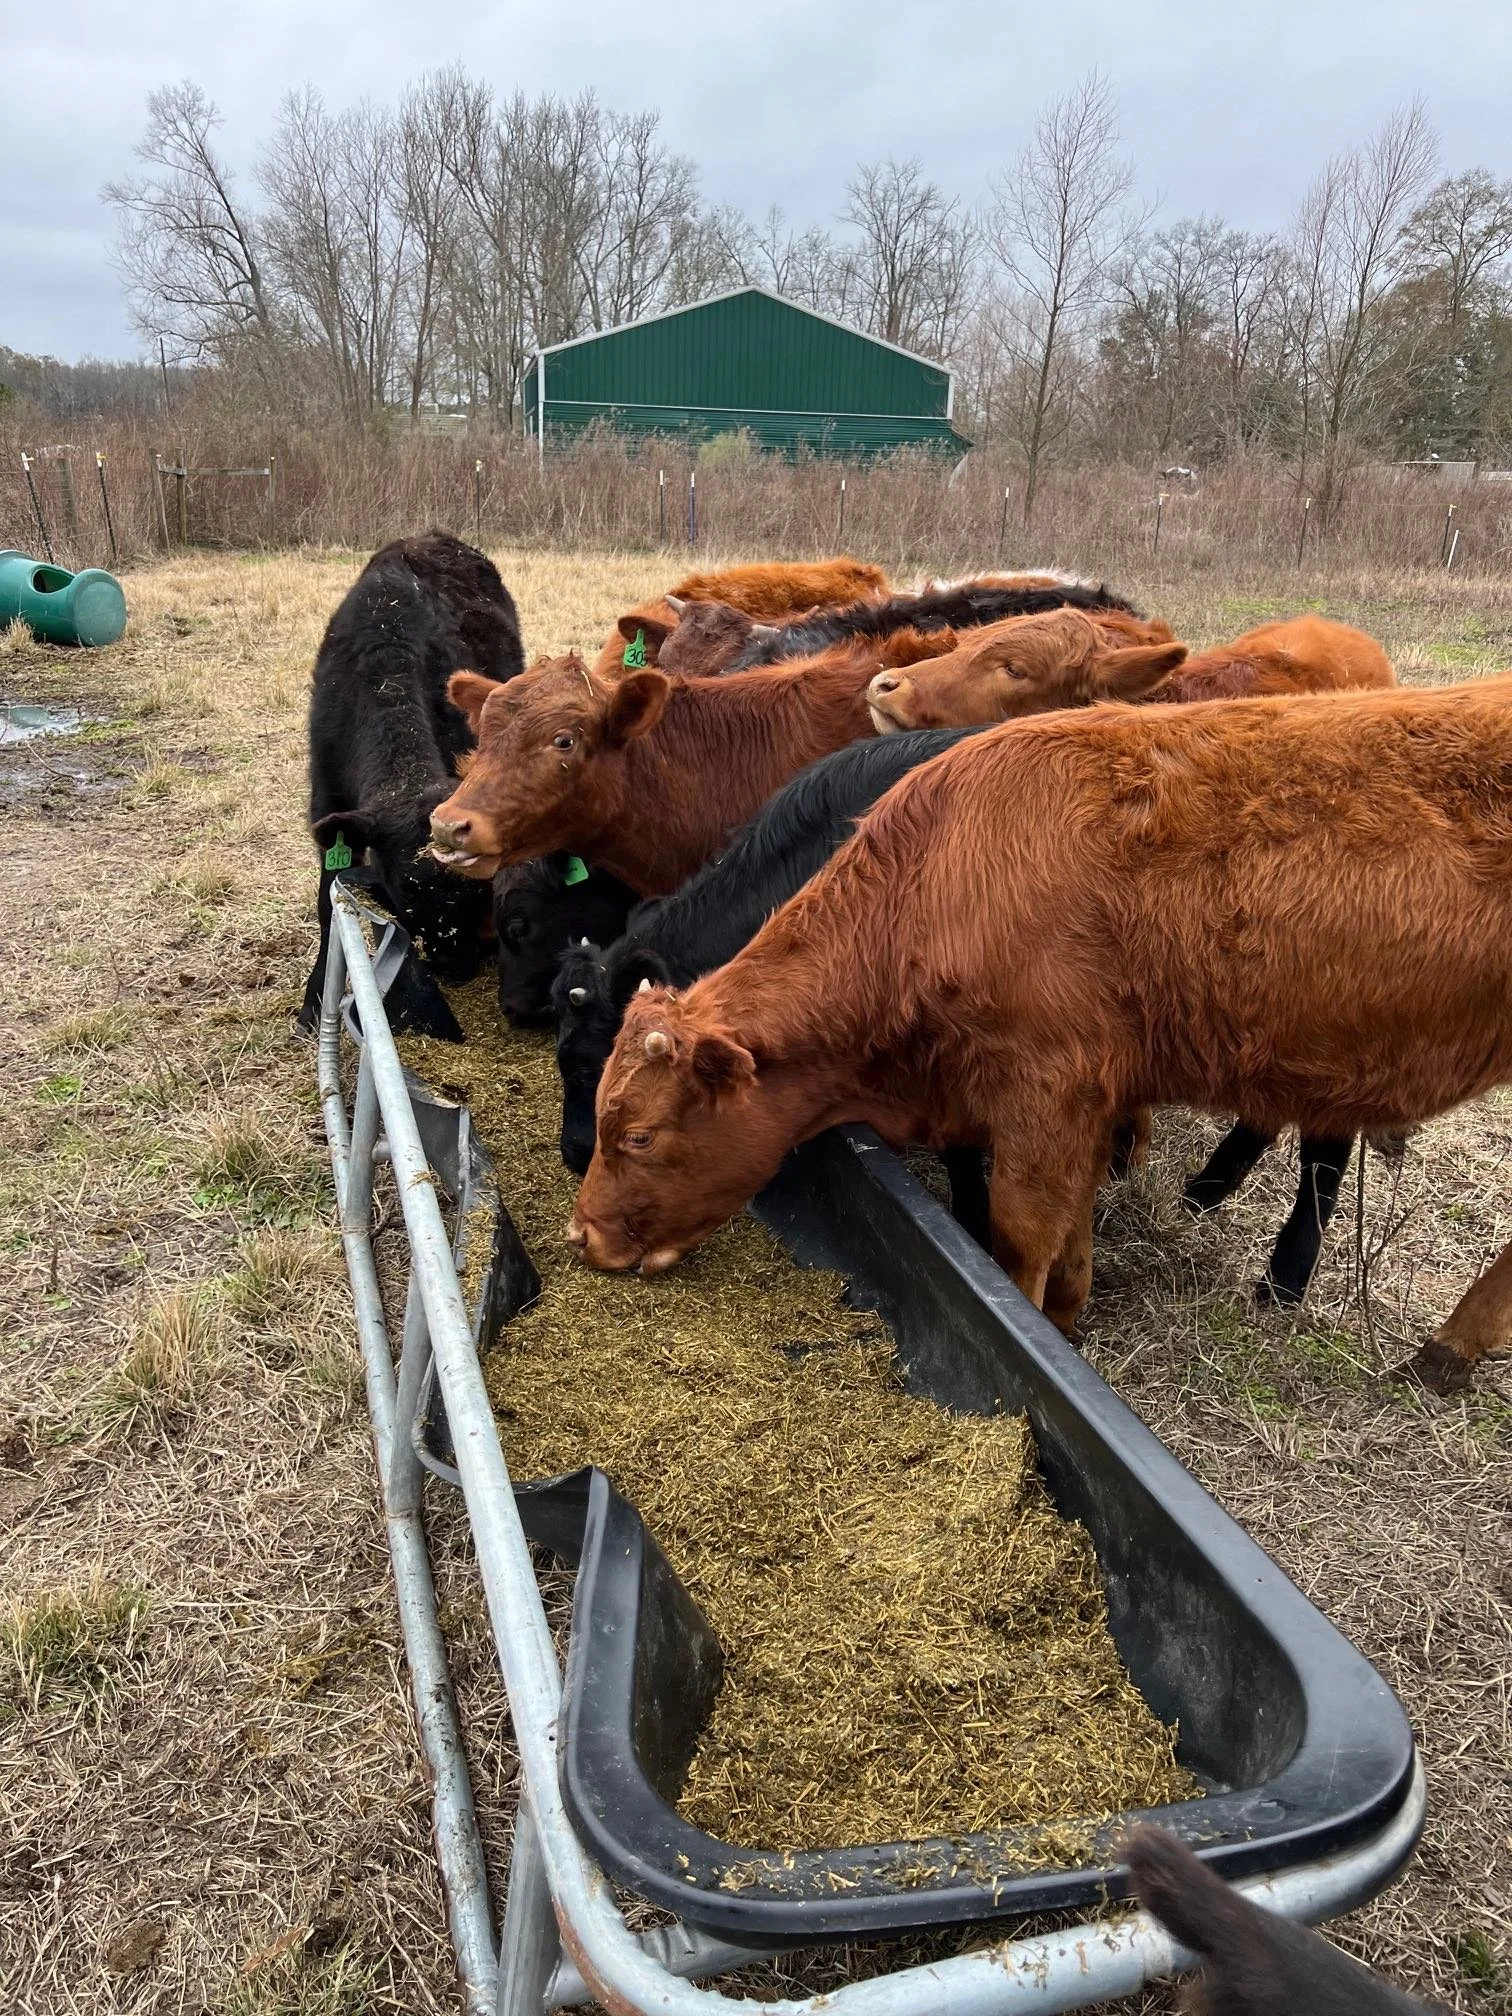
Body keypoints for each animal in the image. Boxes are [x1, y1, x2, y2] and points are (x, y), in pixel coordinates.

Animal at [299, 536, 524, 1031]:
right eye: (406, 894)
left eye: (476, 888)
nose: (456, 965)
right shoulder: (328, 803)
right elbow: (328, 902)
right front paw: (313, 1001)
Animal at [569, 679, 1512, 1392]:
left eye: (638, 1135)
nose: (581, 1234)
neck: (937, 876)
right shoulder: (1082, 1101)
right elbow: (1074, 1231)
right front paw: (1067, 1318)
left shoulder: (1042, 1091)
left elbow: (1018, 1237)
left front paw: (1031, 1337)